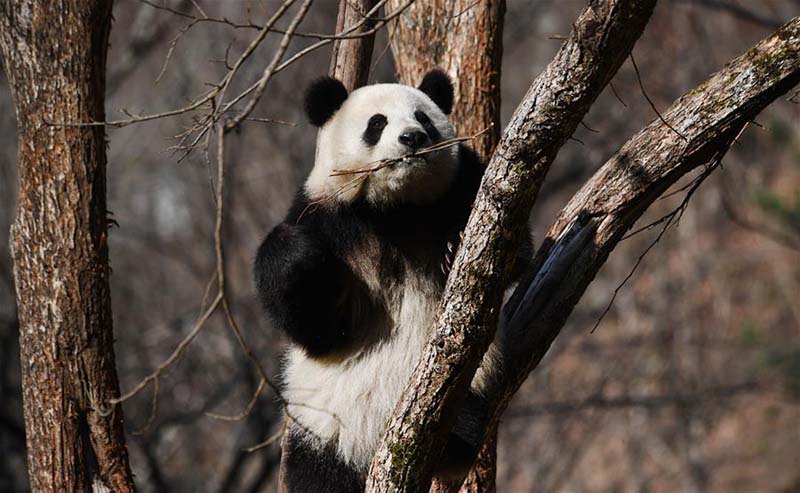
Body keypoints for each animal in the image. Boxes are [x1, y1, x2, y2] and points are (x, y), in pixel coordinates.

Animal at [254, 69, 531, 492]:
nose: (412, 138)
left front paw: (455, 245)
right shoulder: (330, 219)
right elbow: (316, 329)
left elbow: (514, 251)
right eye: (377, 123)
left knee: (466, 417)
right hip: (321, 432)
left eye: (424, 118)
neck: (395, 210)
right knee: (316, 473)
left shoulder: (464, 184)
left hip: (471, 388)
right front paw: (298, 256)